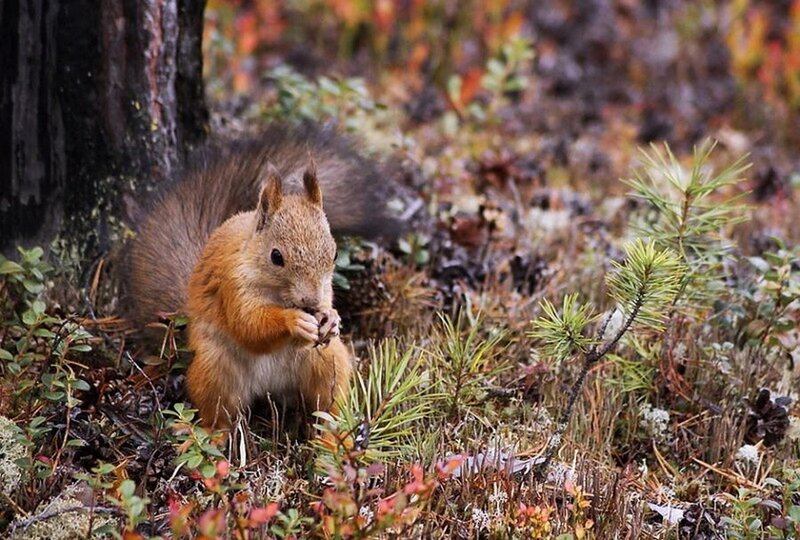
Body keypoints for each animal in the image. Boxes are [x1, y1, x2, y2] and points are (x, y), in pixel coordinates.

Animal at [127, 123, 402, 430]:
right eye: (276, 257)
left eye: (333, 254)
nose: (311, 302)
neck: (279, 293)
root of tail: (271, 388)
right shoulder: (232, 284)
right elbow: (248, 325)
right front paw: (294, 321)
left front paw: (331, 317)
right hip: (215, 368)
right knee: (220, 415)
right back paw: (209, 434)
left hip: (327, 359)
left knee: (328, 406)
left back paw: (334, 434)